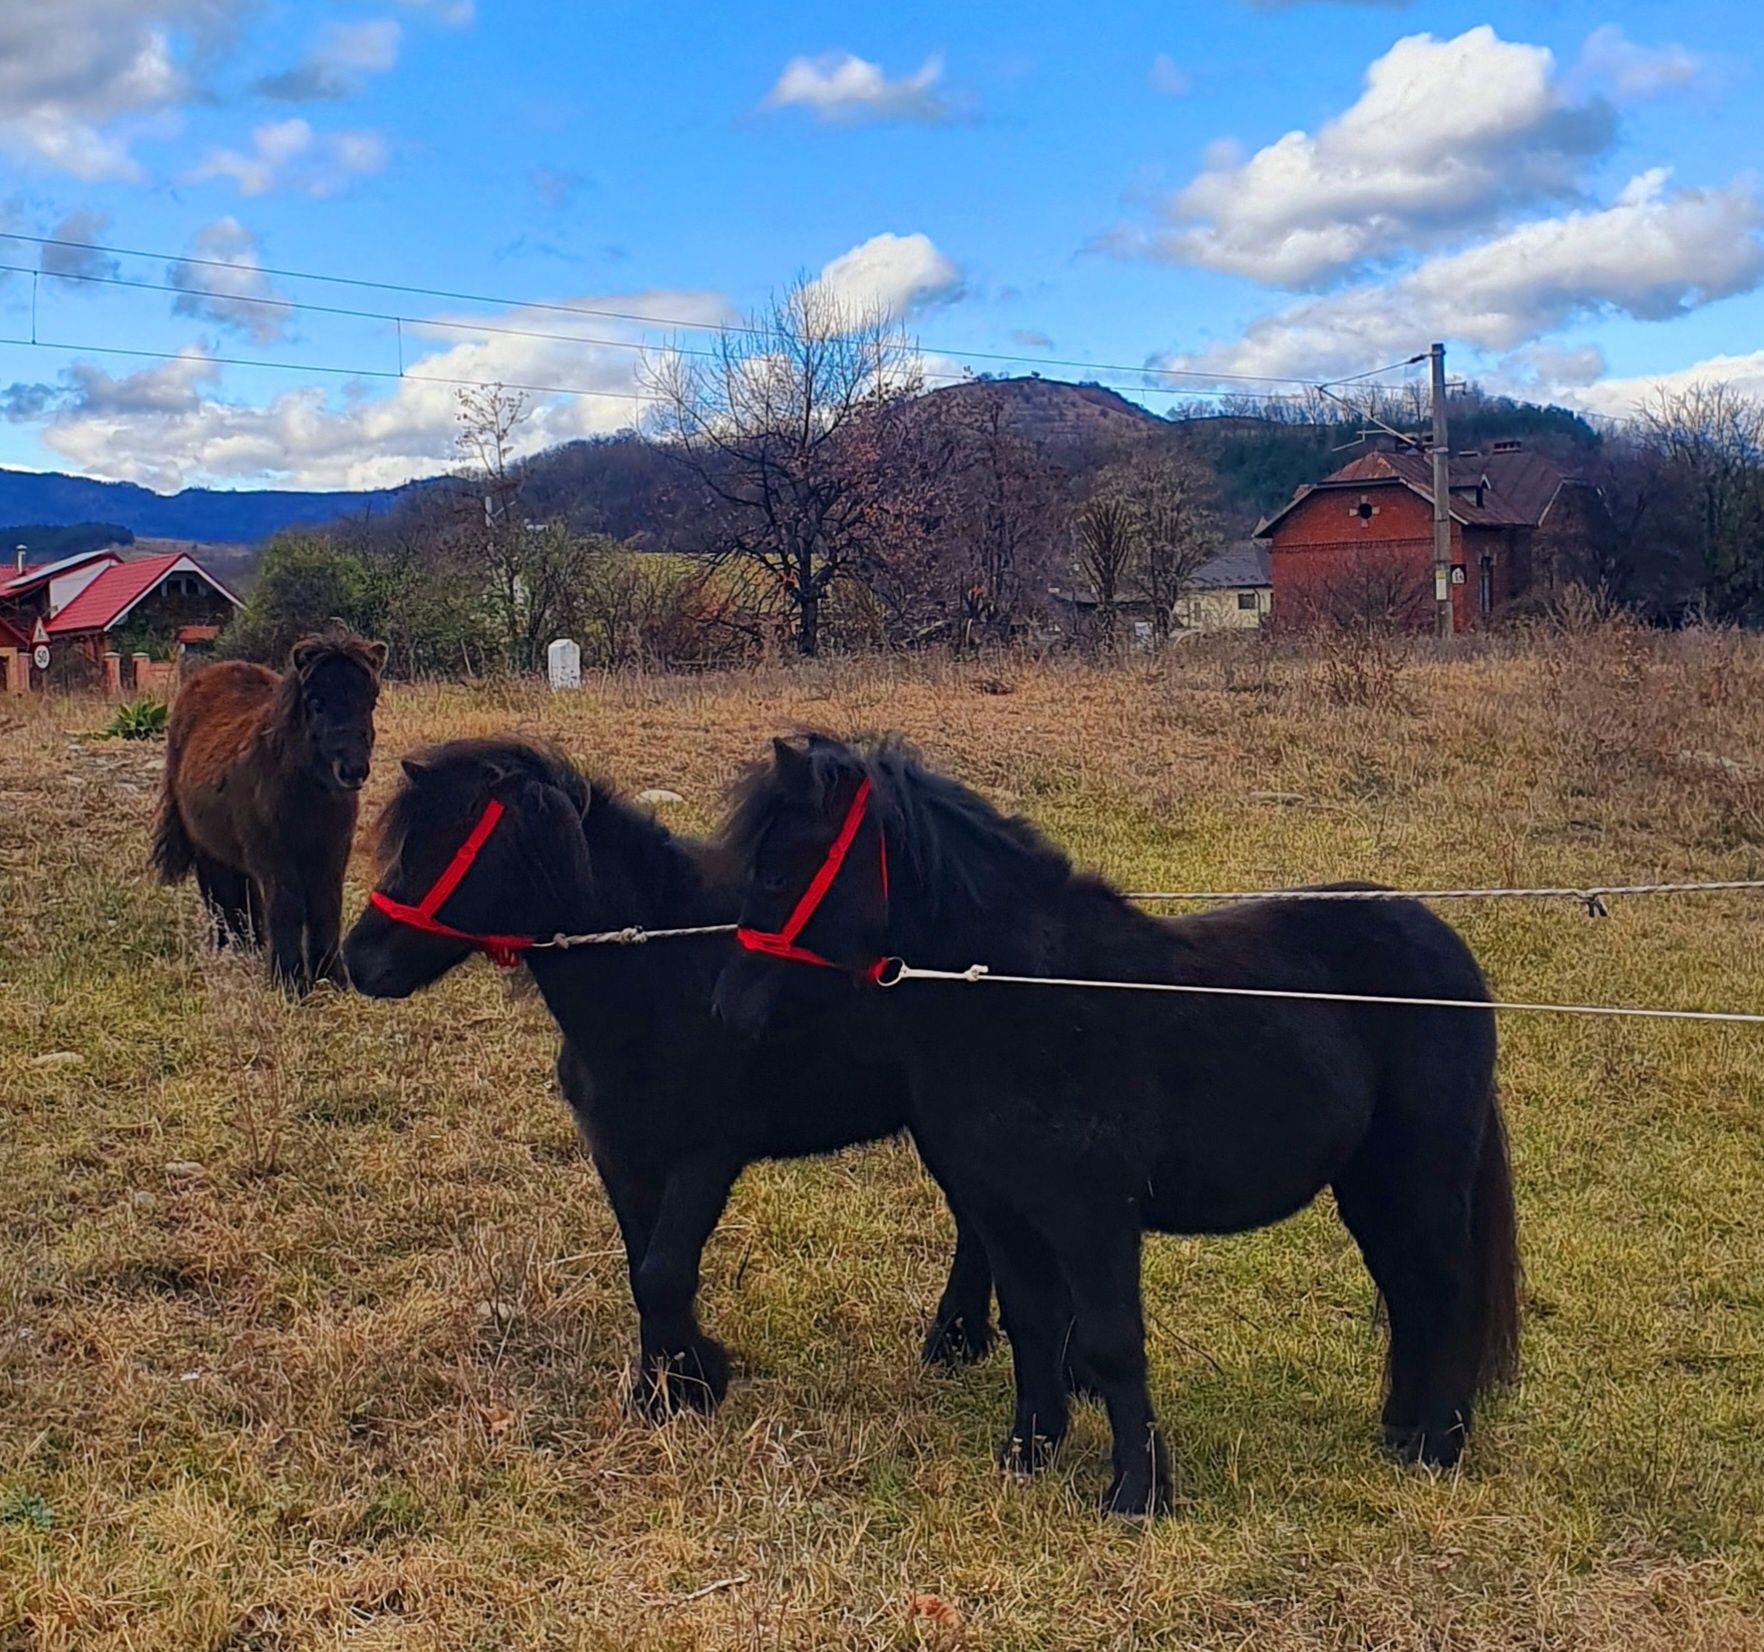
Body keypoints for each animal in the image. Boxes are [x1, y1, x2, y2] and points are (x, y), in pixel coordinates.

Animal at [153, 624, 388, 987]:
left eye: (370, 701)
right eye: (316, 702)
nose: (352, 770)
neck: (307, 794)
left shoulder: (331, 852)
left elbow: (326, 906)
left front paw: (331, 978)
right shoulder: (275, 855)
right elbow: (287, 906)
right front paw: (289, 980)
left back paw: (251, 945)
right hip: (207, 847)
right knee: (218, 894)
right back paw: (229, 947)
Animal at [338, 740, 1001, 1410]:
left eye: (451, 845)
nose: (358, 960)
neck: (660, 979)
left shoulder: (705, 1155)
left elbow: (663, 1273)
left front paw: (686, 1386)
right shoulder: (619, 1151)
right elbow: (642, 1267)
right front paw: (665, 1381)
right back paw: (959, 1341)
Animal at [712, 740, 1517, 1516]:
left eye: (778, 873)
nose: (728, 1012)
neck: (1034, 999)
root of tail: (1448, 949)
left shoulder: (1093, 1218)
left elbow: (1110, 1344)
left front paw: (1137, 1491)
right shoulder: (1003, 1215)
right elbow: (1033, 1328)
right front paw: (1028, 1455)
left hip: (1420, 1177)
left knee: (1441, 1291)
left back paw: (1436, 1446)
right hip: (1370, 1185)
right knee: (1409, 1295)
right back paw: (1403, 1431)